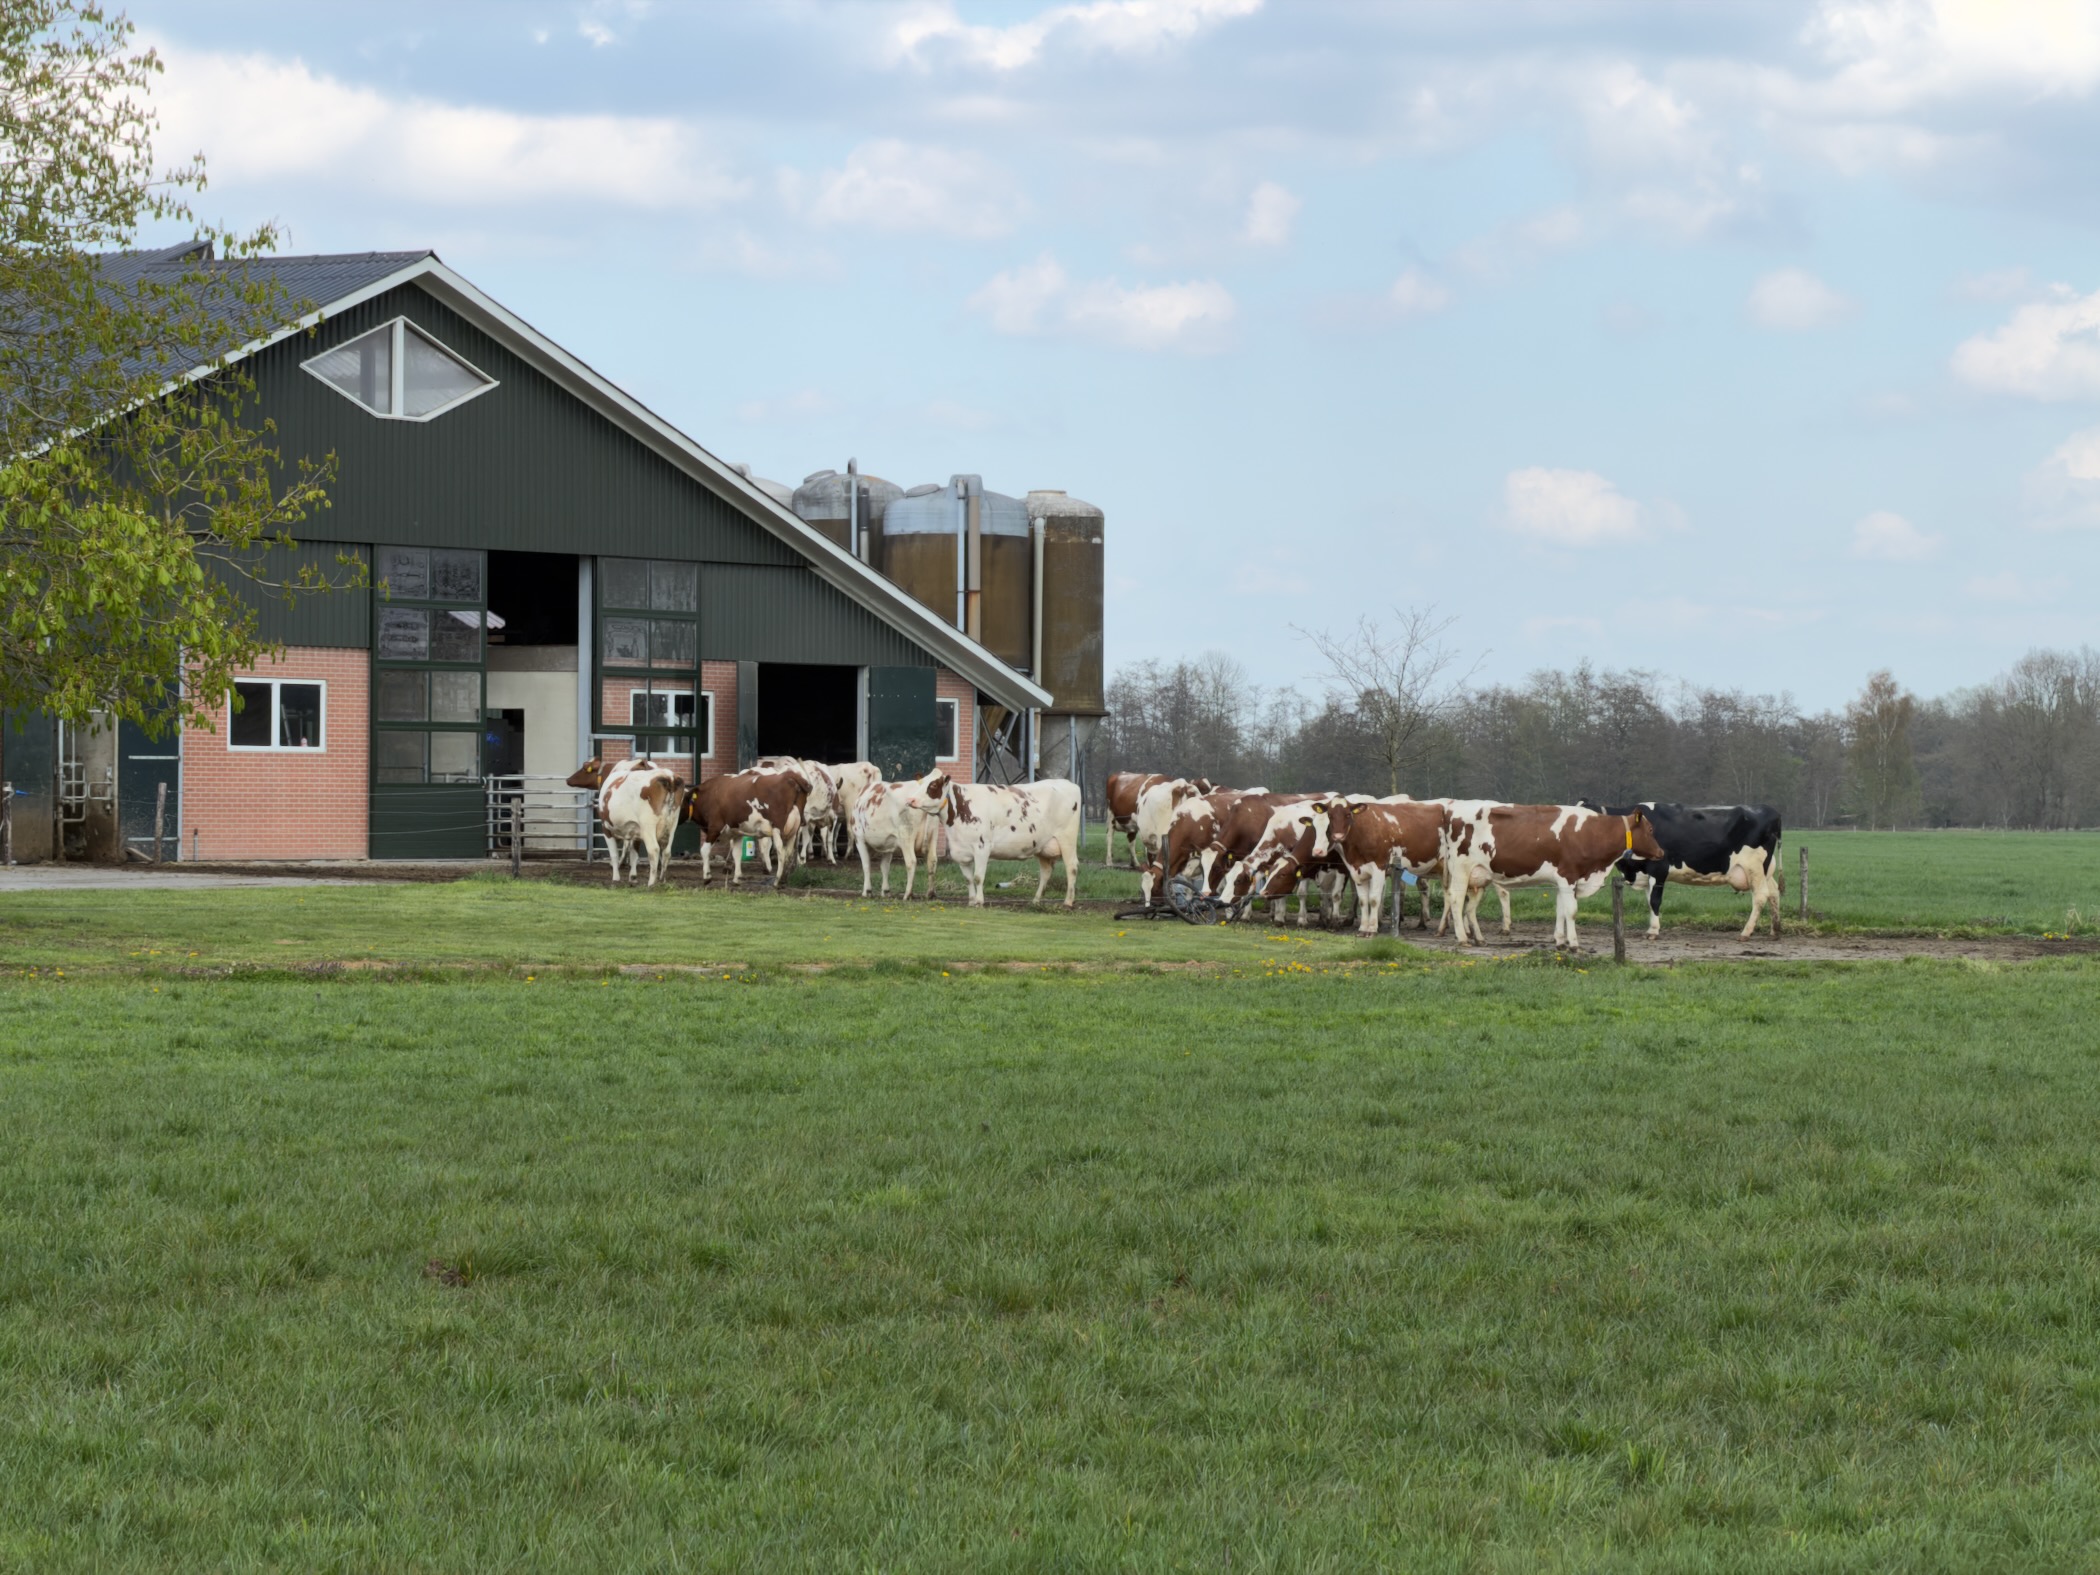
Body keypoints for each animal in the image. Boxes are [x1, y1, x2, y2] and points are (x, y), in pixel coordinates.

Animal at [566, 757, 683, 888]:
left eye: (584, 768)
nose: (568, 779)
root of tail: (669, 777)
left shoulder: (606, 828)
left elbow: (614, 854)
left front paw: (616, 877)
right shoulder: (636, 831)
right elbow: (634, 855)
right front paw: (633, 877)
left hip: (648, 825)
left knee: (654, 850)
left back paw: (651, 883)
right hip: (672, 824)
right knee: (666, 852)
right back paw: (662, 880)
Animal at [680, 768, 811, 888]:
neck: (709, 794)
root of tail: (789, 775)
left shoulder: (715, 827)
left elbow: (704, 850)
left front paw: (707, 877)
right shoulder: (736, 832)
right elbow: (737, 853)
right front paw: (737, 878)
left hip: (778, 828)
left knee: (781, 851)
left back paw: (777, 880)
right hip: (794, 830)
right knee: (789, 852)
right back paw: (784, 879)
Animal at [927, 773, 1085, 907]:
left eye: (932, 786)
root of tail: (1069, 783)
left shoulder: (982, 848)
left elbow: (978, 877)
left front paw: (979, 902)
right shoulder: (961, 853)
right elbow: (969, 878)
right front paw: (971, 901)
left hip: (1067, 839)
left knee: (1071, 867)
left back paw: (1068, 902)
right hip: (1043, 847)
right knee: (1046, 872)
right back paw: (1036, 901)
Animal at [1441, 802, 1666, 950]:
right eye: (1650, 829)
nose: (1661, 852)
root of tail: (1452, 811)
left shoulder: (1562, 880)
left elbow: (1560, 911)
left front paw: (1560, 941)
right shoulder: (1568, 876)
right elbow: (1571, 912)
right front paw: (1574, 944)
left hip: (1479, 878)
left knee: (1470, 907)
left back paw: (1479, 939)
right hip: (1461, 871)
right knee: (1456, 900)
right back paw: (1462, 938)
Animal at [1582, 800, 1785, 939]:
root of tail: (1771, 811)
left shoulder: (1659, 868)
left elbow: (1655, 901)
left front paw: (1653, 932)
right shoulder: (1647, 873)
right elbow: (1649, 901)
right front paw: (1651, 927)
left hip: (1754, 867)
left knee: (1760, 896)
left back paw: (1746, 932)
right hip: (1766, 870)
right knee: (1774, 893)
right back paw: (1775, 929)